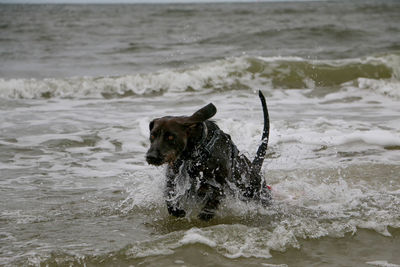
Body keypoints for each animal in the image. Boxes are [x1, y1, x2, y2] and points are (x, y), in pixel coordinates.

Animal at [145, 91, 270, 221]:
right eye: (152, 136)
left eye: (170, 137)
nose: (151, 156)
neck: (194, 155)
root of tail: (255, 169)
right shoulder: (173, 177)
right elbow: (169, 194)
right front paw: (175, 210)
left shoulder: (222, 181)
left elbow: (216, 195)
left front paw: (206, 213)